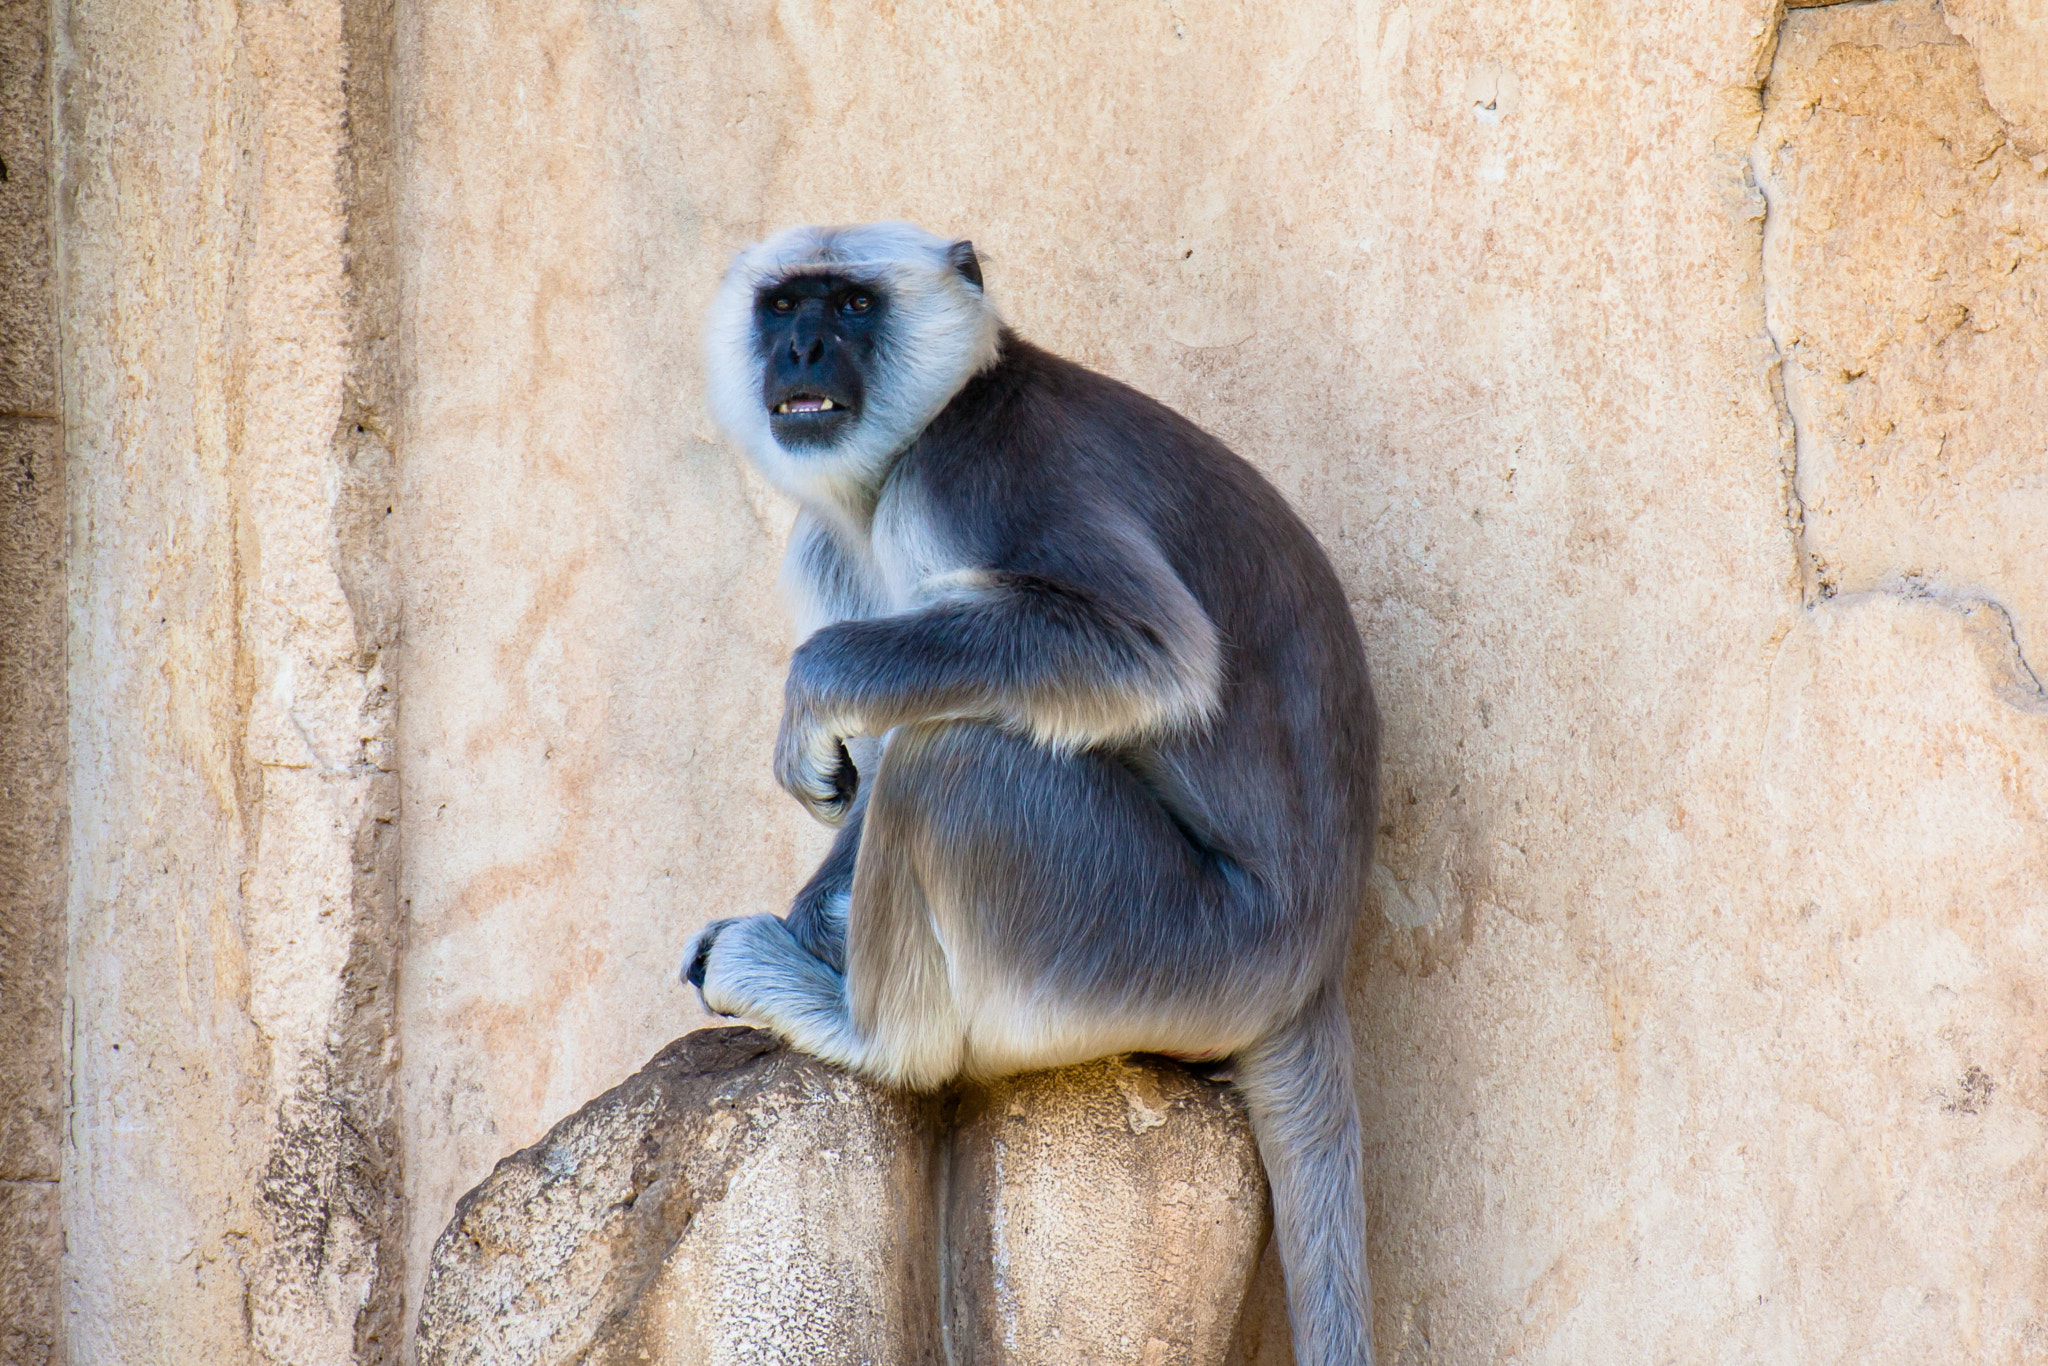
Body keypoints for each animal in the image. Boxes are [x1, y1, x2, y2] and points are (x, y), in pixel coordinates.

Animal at [683, 222, 1381, 1366]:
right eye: (784, 305)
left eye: (852, 305)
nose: (801, 352)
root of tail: (1311, 963)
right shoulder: (825, 538)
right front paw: (814, 903)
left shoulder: (976, 470)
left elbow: (1145, 652)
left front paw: (811, 697)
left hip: (1156, 940)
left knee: (957, 763)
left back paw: (865, 1032)